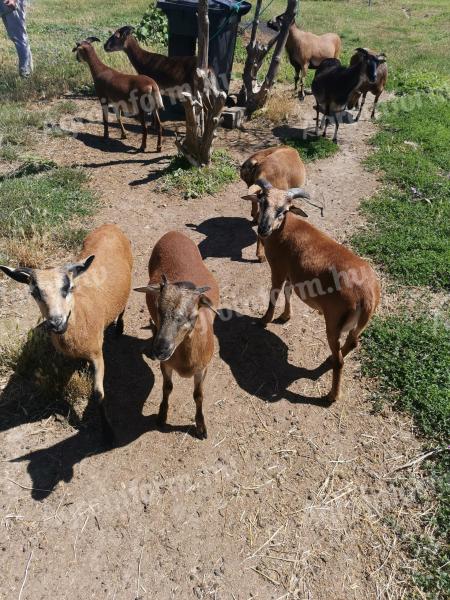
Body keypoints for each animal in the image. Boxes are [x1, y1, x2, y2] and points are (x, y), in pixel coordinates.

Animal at [0, 223, 132, 442]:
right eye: (34, 293)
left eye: (67, 287)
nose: (56, 322)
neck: (80, 315)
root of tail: (109, 226)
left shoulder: (98, 354)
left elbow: (98, 394)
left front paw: (108, 433)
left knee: (122, 307)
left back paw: (119, 328)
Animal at [243, 180, 380, 400]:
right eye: (263, 201)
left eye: (283, 210)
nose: (263, 229)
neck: (284, 229)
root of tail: (367, 296)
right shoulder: (292, 273)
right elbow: (288, 292)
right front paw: (285, 316)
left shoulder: (278, 269)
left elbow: (274, 294)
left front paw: (264, 319)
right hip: (358, 325)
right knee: (352, 344)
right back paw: (328, 362)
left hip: (333, 322)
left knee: (340, 360)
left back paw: (332, 396)